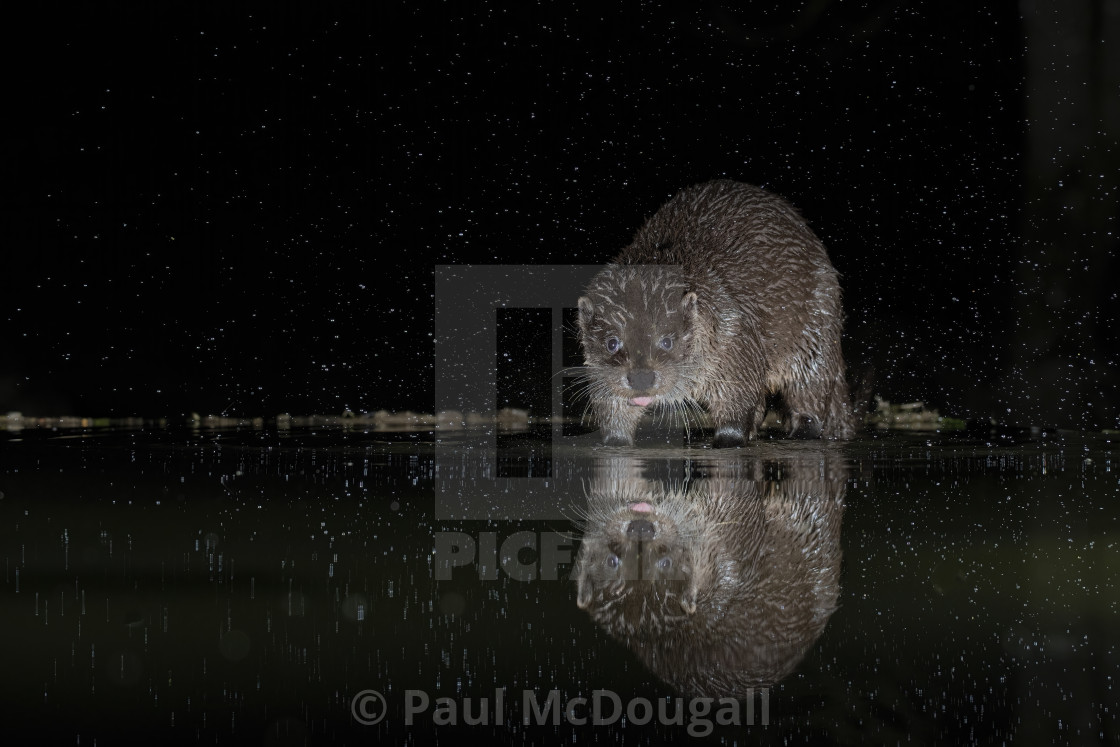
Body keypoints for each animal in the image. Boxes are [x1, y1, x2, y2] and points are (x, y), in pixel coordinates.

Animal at [582, 178, 851, 447]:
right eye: (612, 343)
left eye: (667, 341)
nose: (641, 378)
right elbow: (612, 406)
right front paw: (615, 440)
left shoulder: (733, 339)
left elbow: (737, 396)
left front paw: (728, 439)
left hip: (817, 326)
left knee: (811, 390)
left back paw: (802, 430)